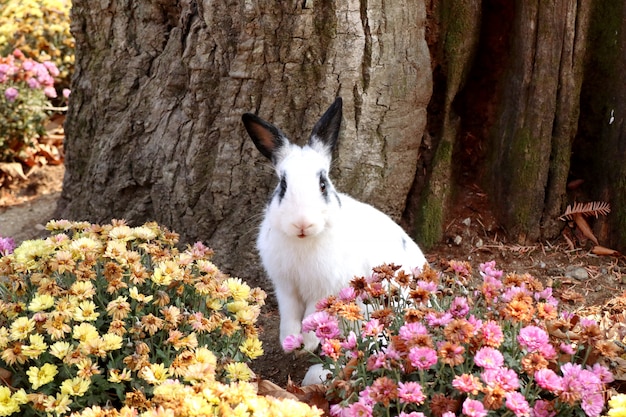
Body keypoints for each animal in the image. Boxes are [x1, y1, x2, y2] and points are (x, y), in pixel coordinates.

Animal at [239, 96, 424, 354]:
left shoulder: (325, 289)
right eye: (283, 185)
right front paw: (289, 342)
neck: (303, 242)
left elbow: (312, 315)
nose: (302, 223)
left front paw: (307, 343)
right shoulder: (286, 288)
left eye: (323, 184)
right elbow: (290, 316)